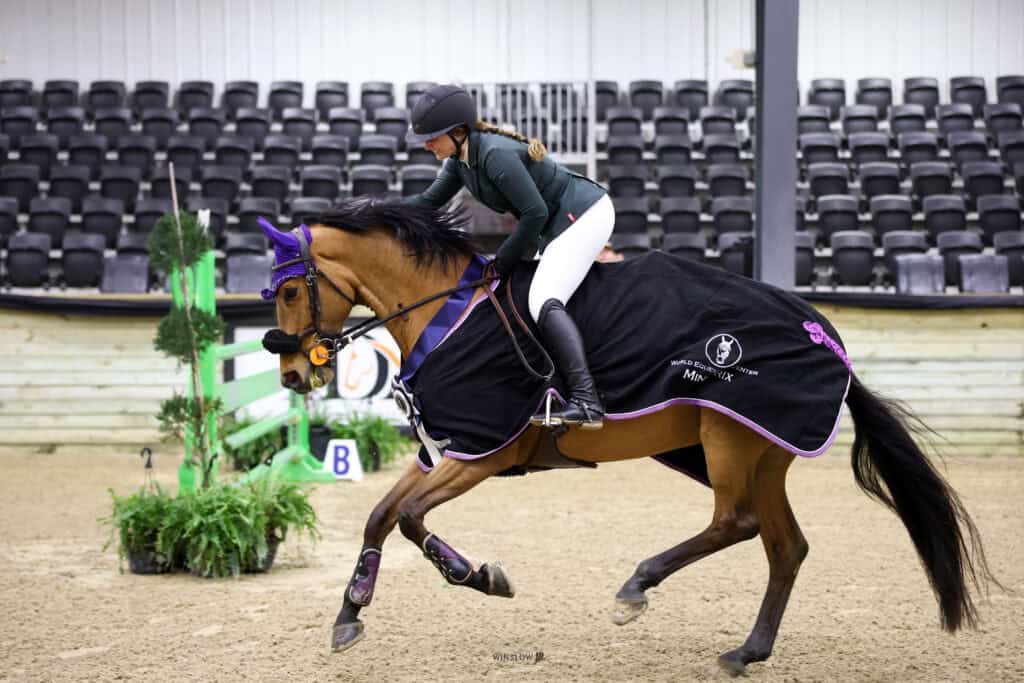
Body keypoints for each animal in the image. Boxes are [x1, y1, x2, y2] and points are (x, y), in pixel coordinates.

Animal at [257, 198, 995, 675]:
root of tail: (826, 338)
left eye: (290, 291)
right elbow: (381, 514)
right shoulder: (449, 448)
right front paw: (349, 616)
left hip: (728, 441)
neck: (445, 311)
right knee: (783, 543)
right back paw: (747, 651)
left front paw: (481, 576)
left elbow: (409, 516)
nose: (293, 373)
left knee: (737, 521)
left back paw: (636, 586)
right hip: (757, 452)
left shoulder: (483, 451)